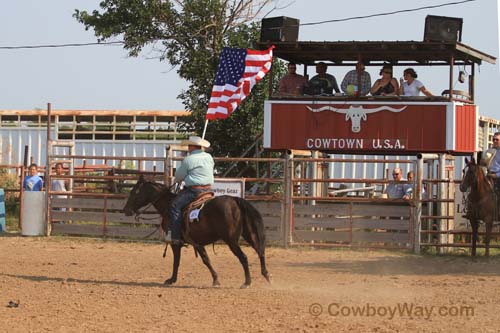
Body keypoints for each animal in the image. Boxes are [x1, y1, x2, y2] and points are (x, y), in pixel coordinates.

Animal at [122, 175, 270, 286]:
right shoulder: (197, 242)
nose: (126, 210)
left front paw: (172, 279)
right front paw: (215, 279)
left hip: (231, 240)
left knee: (244, 257)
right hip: (249, 234)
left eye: (134, 192)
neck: (167, 206)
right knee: (260, 251)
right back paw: (266, 275)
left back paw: (247, 282)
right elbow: (205, 259)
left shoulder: (176, 242)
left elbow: (178, 261)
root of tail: (234, 200)